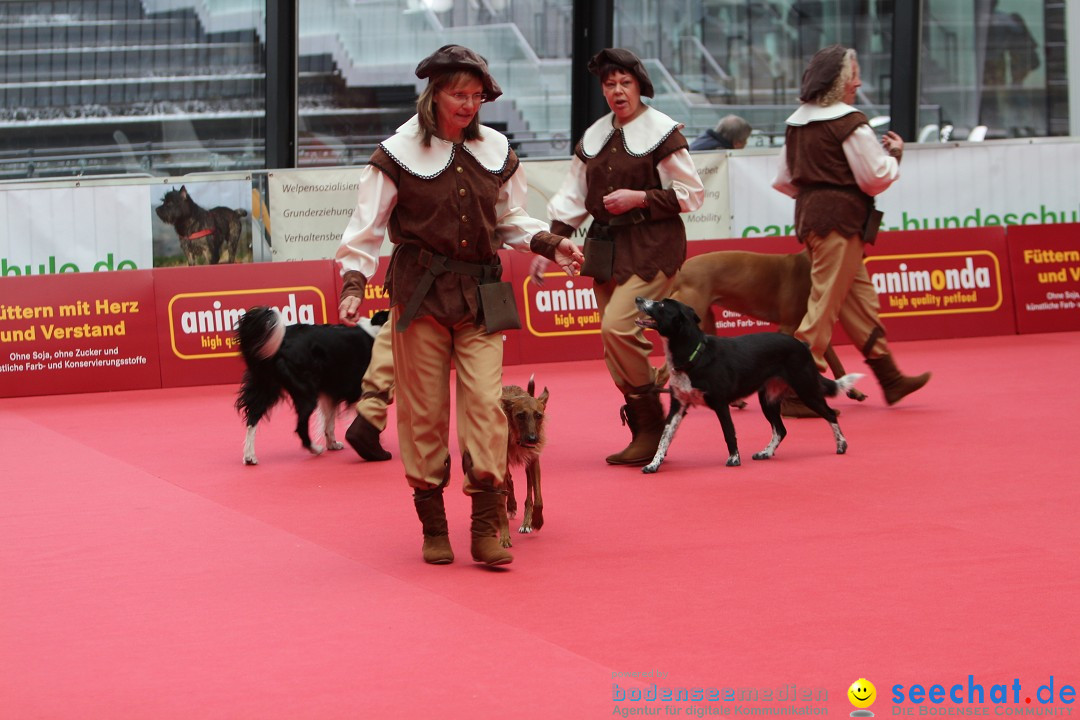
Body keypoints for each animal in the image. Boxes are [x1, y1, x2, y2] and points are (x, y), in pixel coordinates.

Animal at [236, 306, 388, 464]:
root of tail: (282, 341)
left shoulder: (330, 392)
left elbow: (329, 422)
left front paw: (333, 444)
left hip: (265, 386)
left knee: (252, 418)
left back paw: (249, 456)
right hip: (305, 392)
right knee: (300, 426)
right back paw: (315, 449)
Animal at [496, 377, 548, 546]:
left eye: (539, 415)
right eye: (520, 416)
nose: (532, 439)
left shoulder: (534, 462)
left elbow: (537, 499)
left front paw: (537, 521)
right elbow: (500, 505)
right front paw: (504, 536)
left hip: (528, 468)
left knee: (528, 494)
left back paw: (527, 522)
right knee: (509, 482)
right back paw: (511, 506)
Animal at [630, 297, 859, 472]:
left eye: (661, 305)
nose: (638, 299)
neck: (693, 355)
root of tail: (802, 345)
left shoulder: (720, 403)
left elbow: (729, 433)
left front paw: (734, 459)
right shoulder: (678, 407)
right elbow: (664, 438)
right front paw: (653, 464)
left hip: (806, 389)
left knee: (829, 414)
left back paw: (841, 444)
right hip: (768, 398)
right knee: (781, 430)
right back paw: (766, 452)